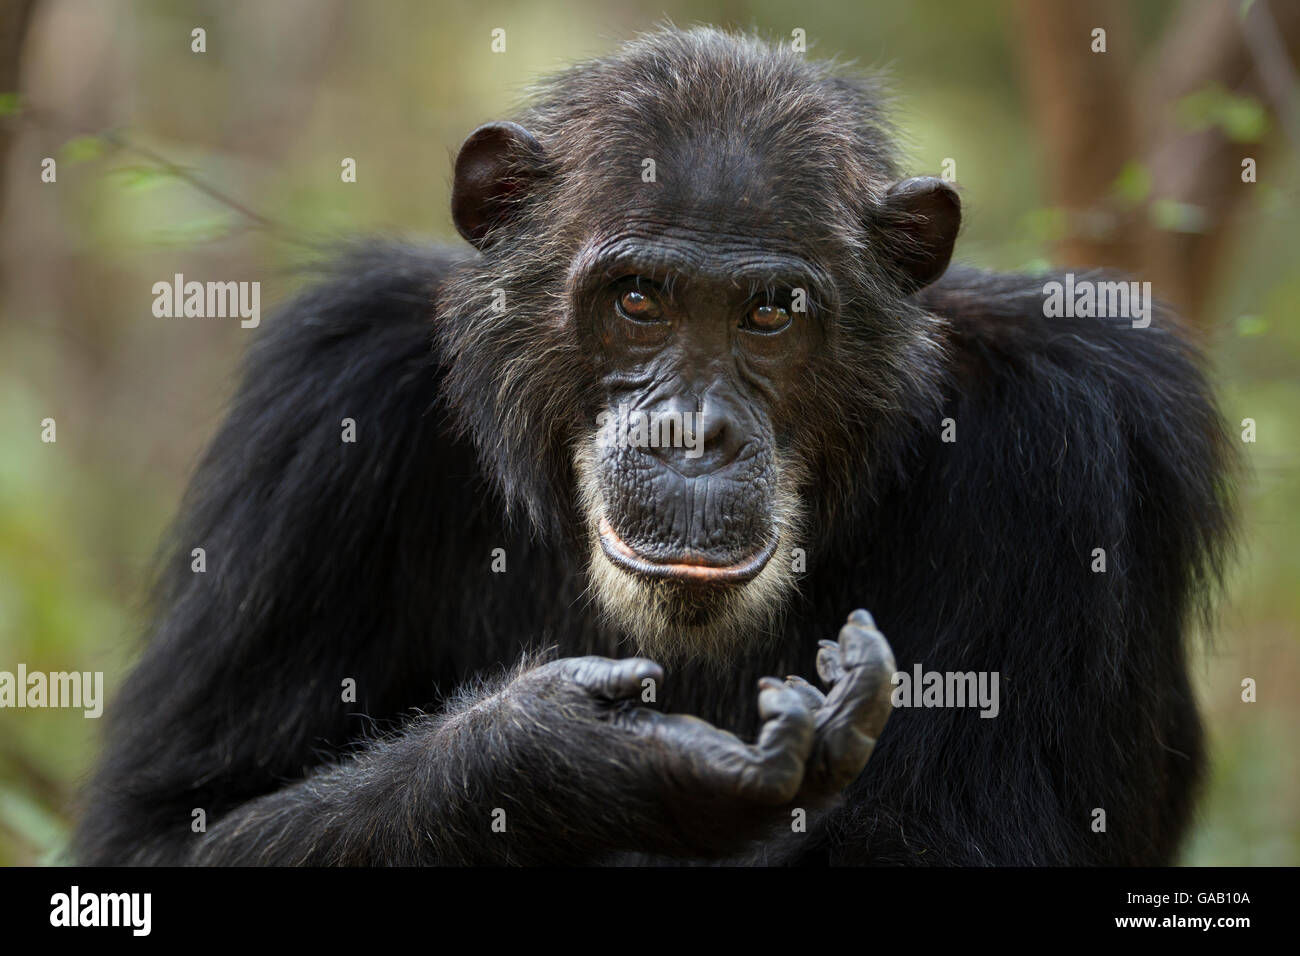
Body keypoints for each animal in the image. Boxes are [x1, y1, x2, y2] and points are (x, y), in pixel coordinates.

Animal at [76, 27, 1232, 868]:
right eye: (639, 299)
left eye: (769, 313)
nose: (694, 431)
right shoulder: (322, 406)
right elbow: (172, 822)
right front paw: (568, 763)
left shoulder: (1081, 435)